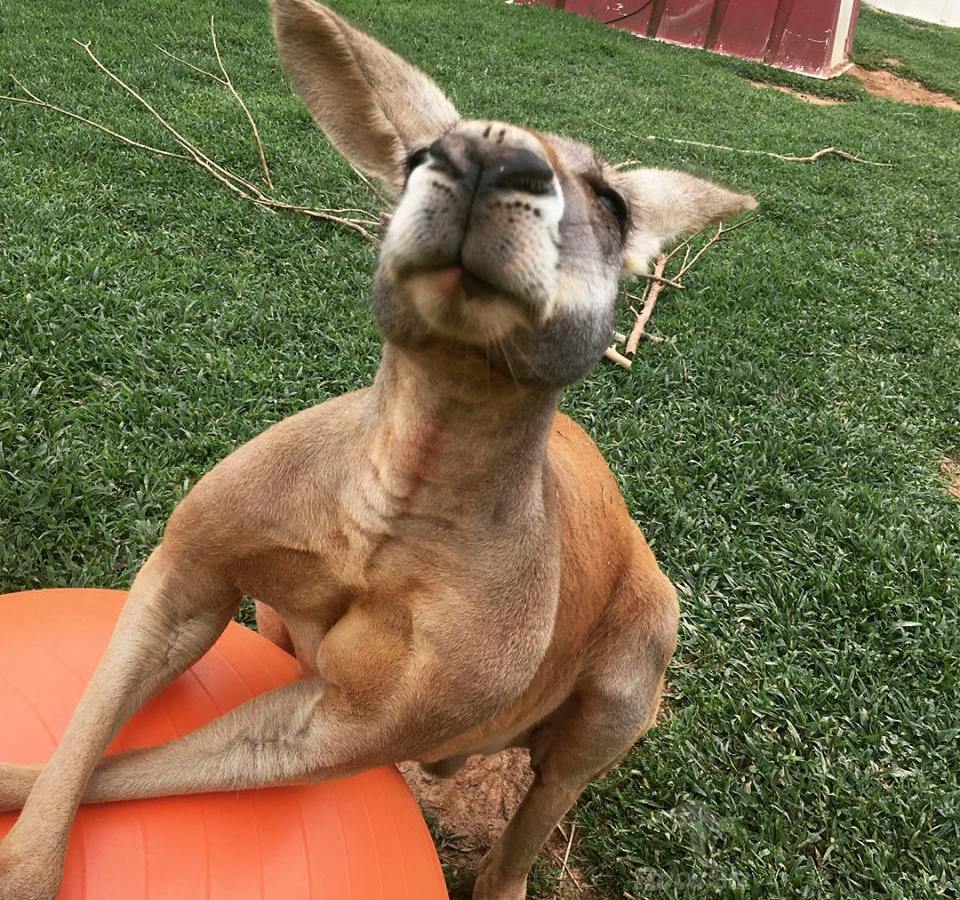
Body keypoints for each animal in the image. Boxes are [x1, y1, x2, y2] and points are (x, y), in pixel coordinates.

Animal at [0, 2, 754, 897]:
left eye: (608, 198)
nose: (485, 156)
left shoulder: (361, 719)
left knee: (551, 790)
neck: (392, 499)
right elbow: (93, 732)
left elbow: (220, 752)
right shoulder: (190, 565)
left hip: (637, 648)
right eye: (422, 155)